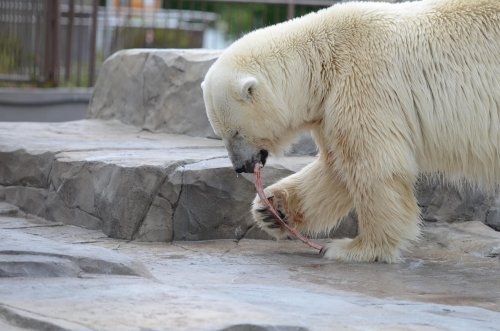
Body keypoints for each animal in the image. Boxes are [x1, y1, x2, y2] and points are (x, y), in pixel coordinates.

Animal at [200, 0, 500, 264]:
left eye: (235, 133)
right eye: (220, 133)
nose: (240, 166)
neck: (323, 55)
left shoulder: (364, 84)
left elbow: (372, 167)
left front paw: (356, 248)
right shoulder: (328, 107)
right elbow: (334, 168)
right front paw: (272, 210)